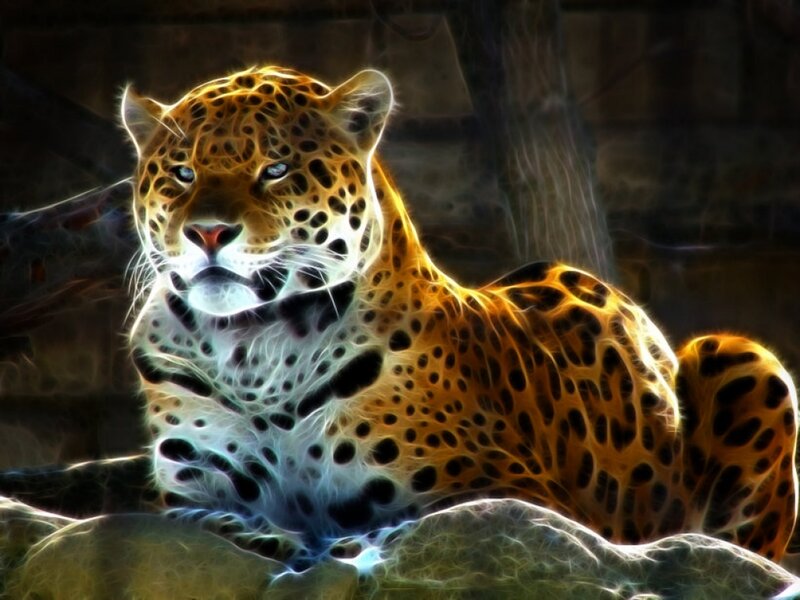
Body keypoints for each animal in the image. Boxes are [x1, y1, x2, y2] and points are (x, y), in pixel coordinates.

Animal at [120, 65, 799, 566]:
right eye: (182, 174)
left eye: (276, 170)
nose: (208, 233)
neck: (253, 348)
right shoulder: (187, 487)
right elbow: (202, 517)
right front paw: (271, 536)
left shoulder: (517, 493)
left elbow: (412, 526)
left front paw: (340, 543)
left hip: (741, 358)